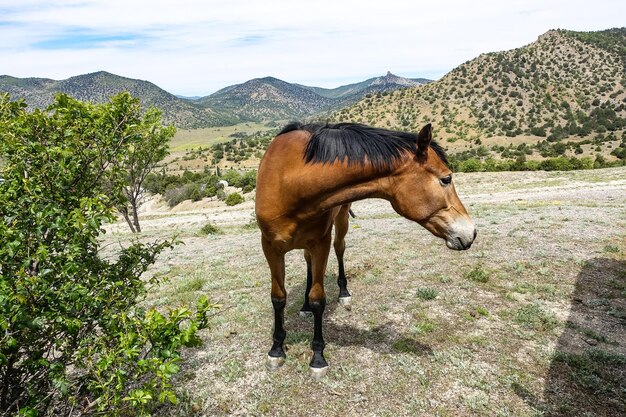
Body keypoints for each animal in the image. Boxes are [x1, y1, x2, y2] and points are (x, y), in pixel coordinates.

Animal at [252, 120, 472, 376]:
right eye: (446, 179)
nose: (471, 232)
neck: (290, 182)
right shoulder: (270, 247)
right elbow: (278, 298)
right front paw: (277, 349)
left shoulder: (321, 243)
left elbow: (318, 300)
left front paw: (317, 357)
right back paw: (304, 305)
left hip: (340, 221)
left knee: (339, 249)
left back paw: (343, 293)